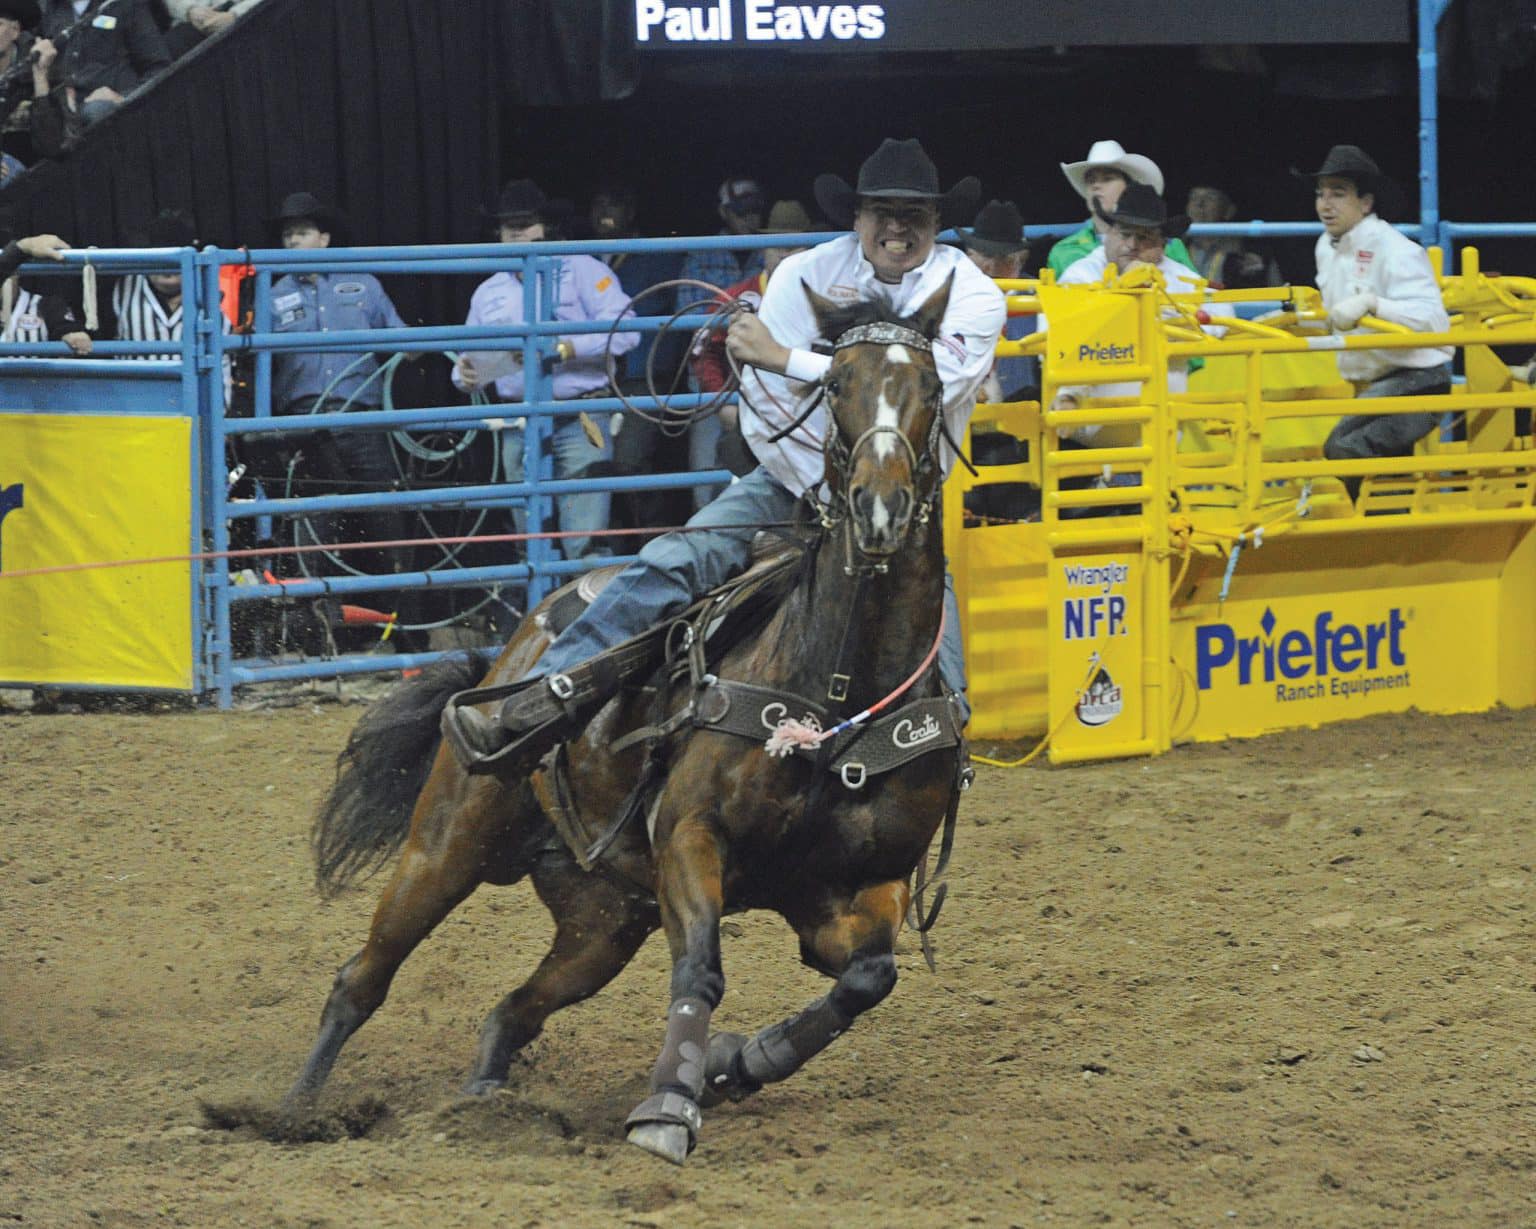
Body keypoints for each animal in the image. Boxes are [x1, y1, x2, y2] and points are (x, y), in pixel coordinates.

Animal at [286, 277, 968, 1166]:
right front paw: (669, 1107)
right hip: (447, 843)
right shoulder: (689, 835)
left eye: (932, 388)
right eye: (835, 383)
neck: (839, 687)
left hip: (602, 921)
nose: (879, 508)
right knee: (362, 977)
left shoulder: (856, 887)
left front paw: (736, 1060)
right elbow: (702, 971)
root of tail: (519, 641)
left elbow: (866, 980)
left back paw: (484, 1102)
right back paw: (292, 1107)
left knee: (512, 1009)